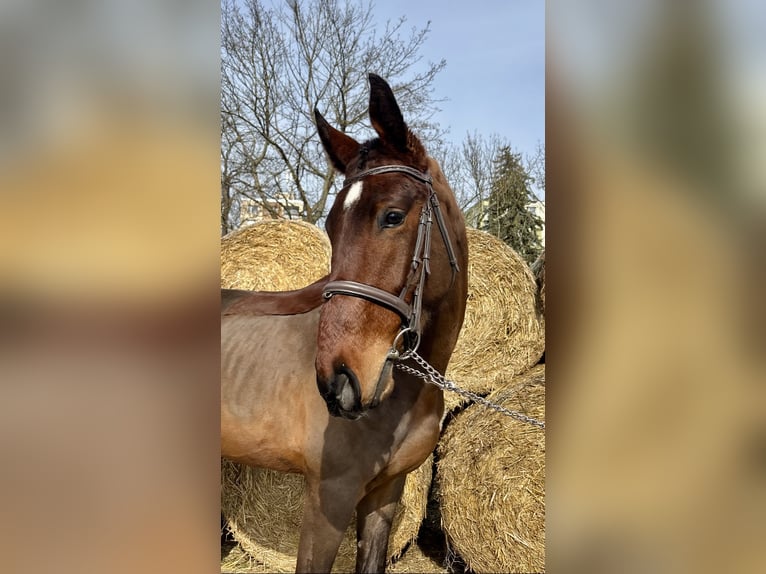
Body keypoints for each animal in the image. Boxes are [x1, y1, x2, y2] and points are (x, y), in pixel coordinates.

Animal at [221, 74, 468, 573]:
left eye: (392, 216)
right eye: (332, 226)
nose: (339, 383)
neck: (405, 393)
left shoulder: (385, 495)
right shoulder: (328, 499)